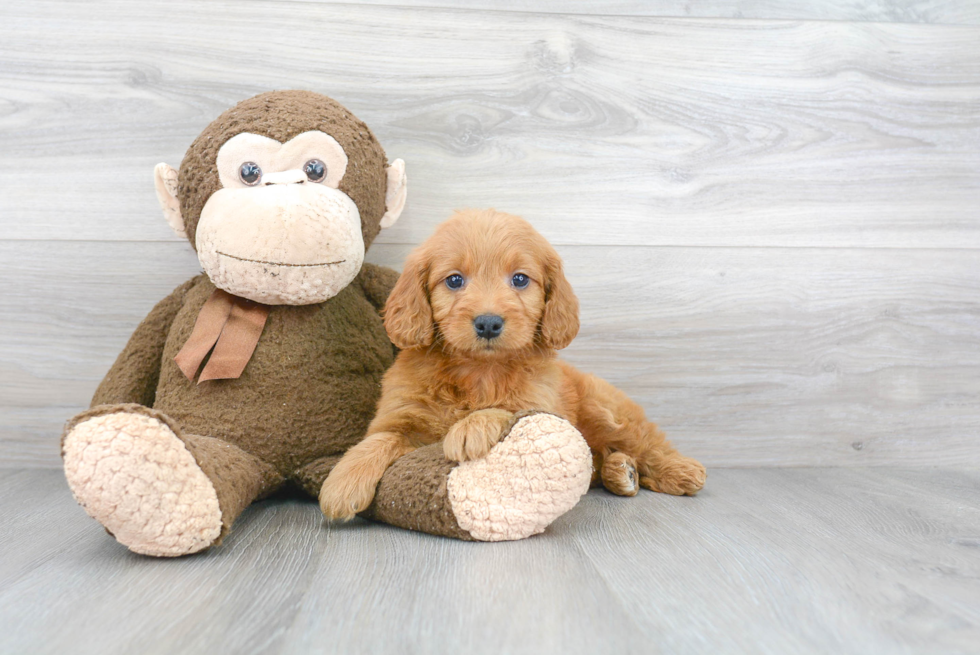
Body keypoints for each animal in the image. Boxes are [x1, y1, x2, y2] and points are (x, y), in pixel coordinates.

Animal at [322, 208, 704, 520]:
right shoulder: (400, 416)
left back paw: (679, 470)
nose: (489, 323)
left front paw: (470, 428)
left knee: (647, 442)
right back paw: (620, 470)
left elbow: (507, 408)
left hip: (607, 410)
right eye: (454, 280)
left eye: (520, 279)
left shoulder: (543, 405)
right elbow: (379, 439)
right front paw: (342, 482)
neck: (477, 371)